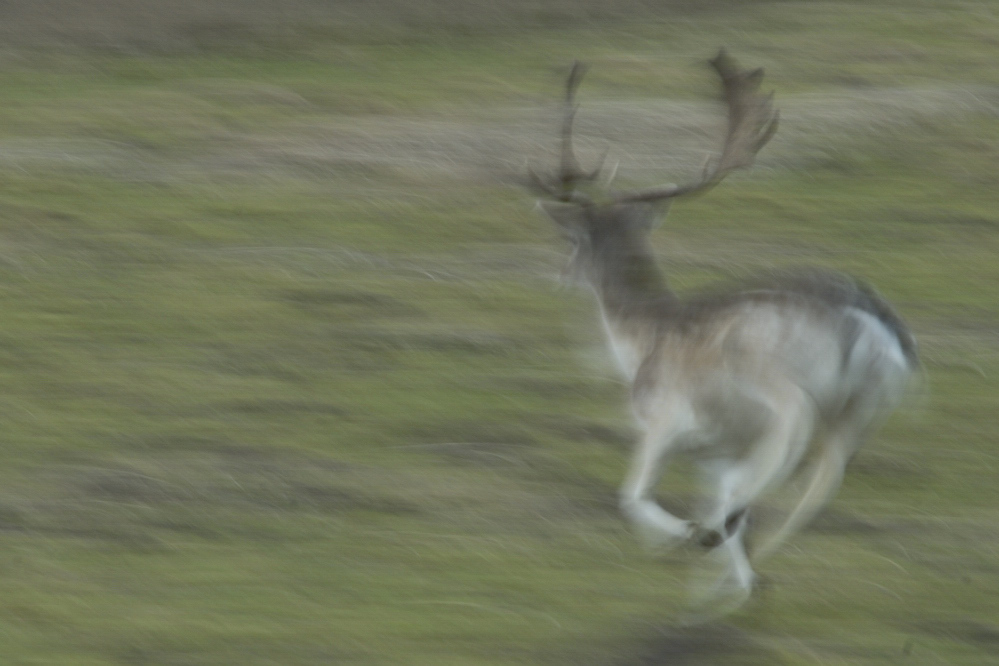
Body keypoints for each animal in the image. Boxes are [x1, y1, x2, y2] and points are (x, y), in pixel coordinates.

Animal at [532, 52, 920, 608]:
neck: (642, 342)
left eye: (572, 242)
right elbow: (728, 506)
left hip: (774, 376)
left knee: (798, 426)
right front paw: (735, 582)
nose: (560, 275)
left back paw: (718, 533)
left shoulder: (665, 419)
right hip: (870, 406)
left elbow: (631, 495)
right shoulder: (718, 454)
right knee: (828, 471)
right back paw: (748, 546)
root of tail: (869, 325)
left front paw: (690, 539)